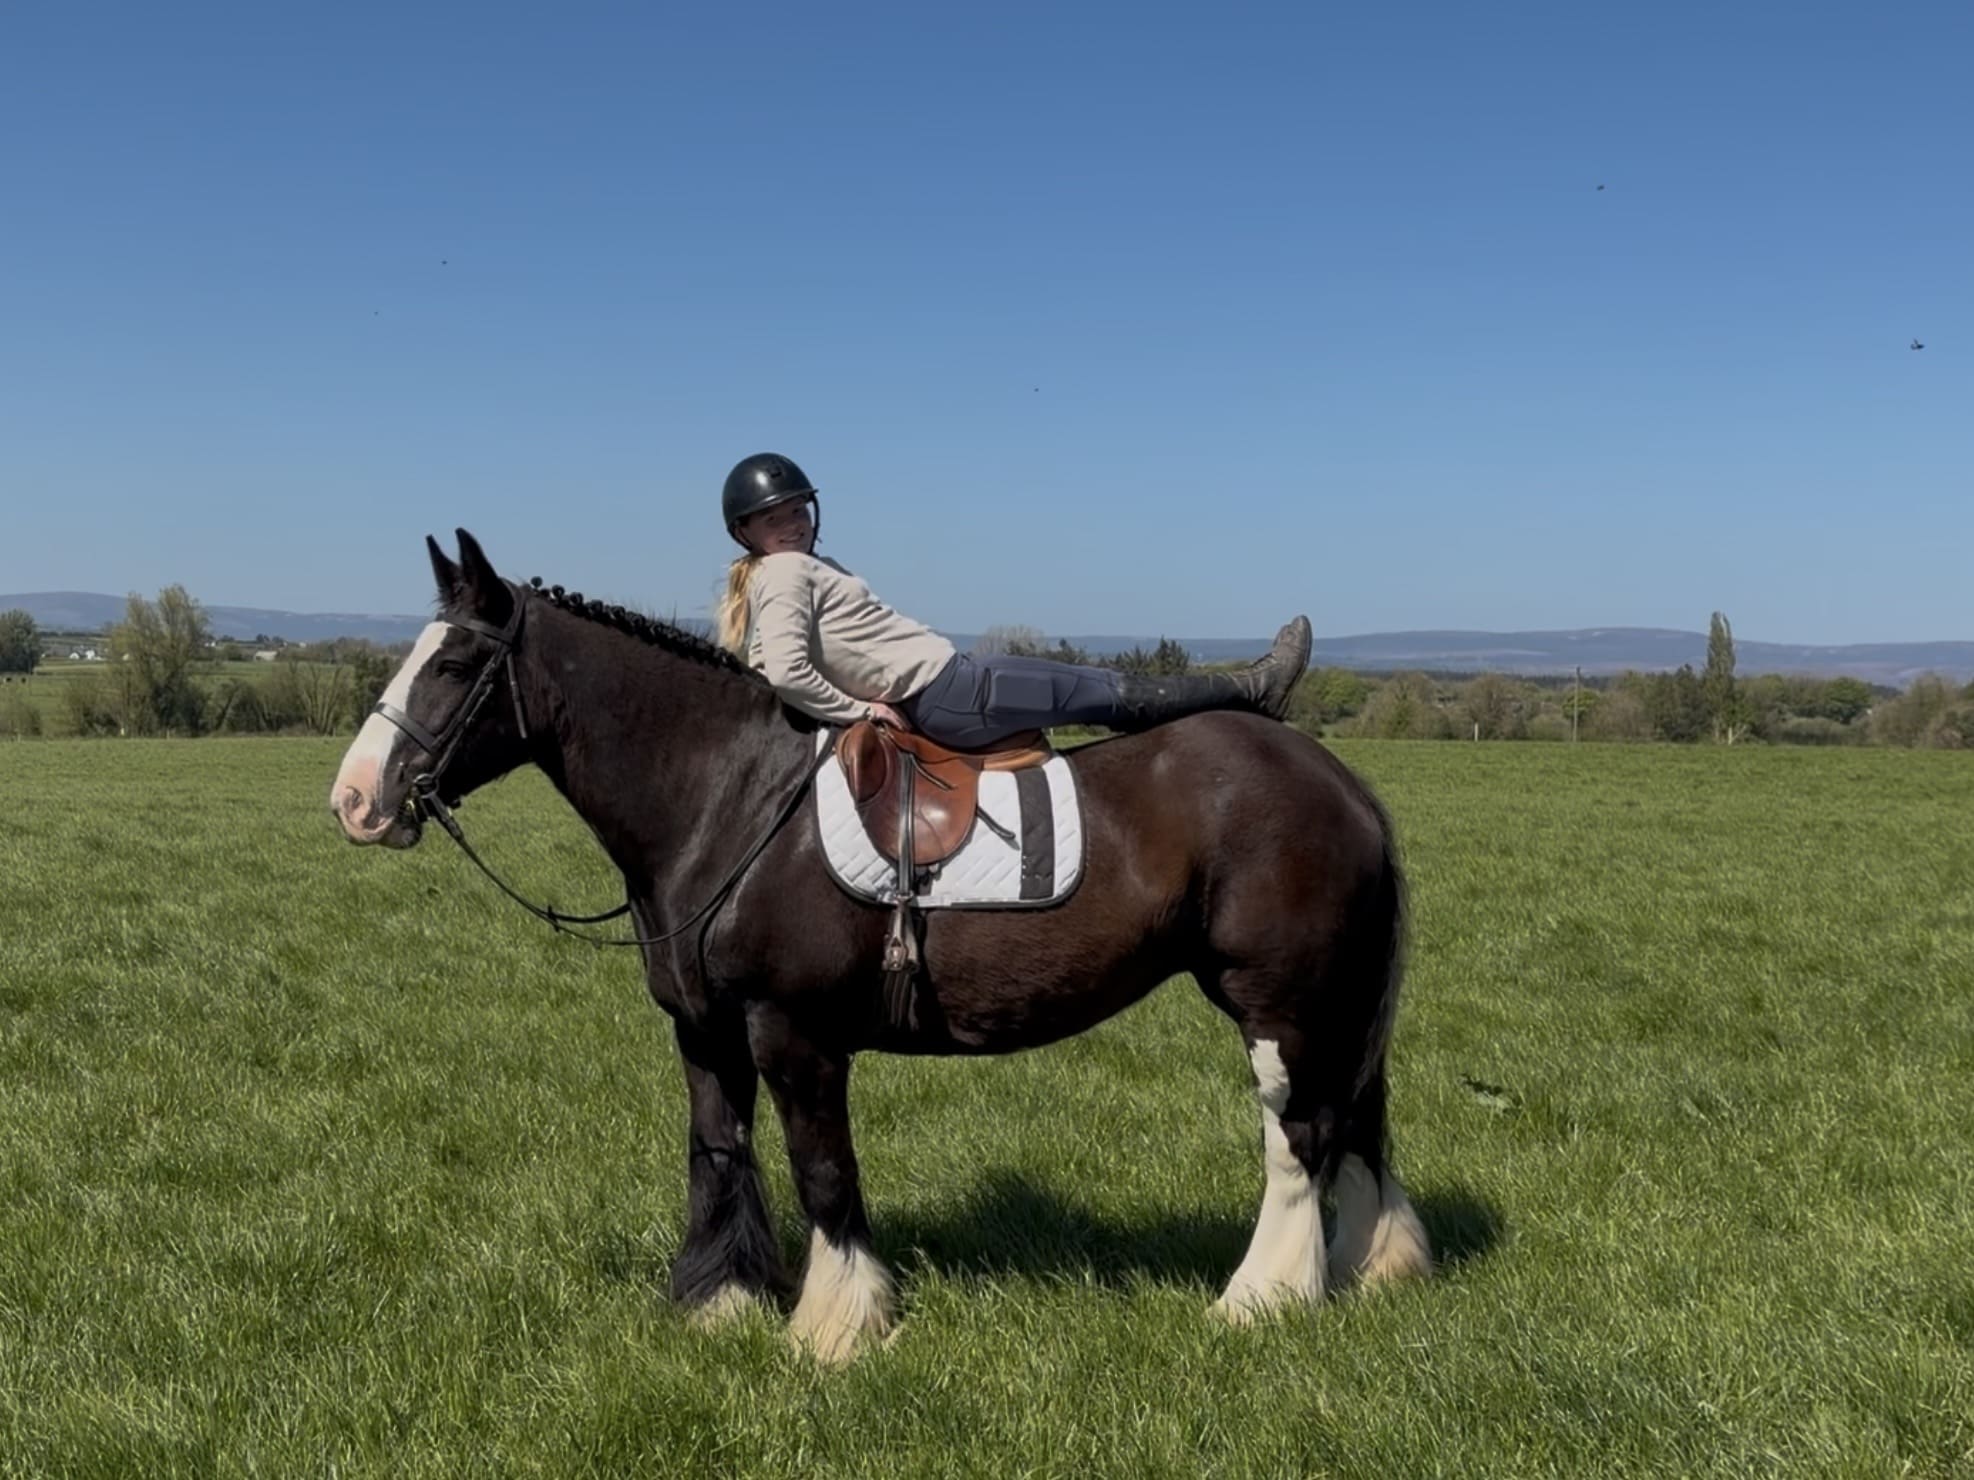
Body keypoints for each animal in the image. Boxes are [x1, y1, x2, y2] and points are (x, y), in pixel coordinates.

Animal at [330, 530, 1431, 1363]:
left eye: (454, 665)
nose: (354, 799)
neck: (730, 798)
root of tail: (1339, 782)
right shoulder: (703, 1032)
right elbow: (717, 1153)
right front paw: (723, 1303)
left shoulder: (794, 1034)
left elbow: (823, 1172)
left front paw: (836, 1325)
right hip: (1331, 1002)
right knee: (1355, 1122)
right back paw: (1375, 1268)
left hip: (1278, 1003)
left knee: (1299, 1139)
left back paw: (1259, 1298)